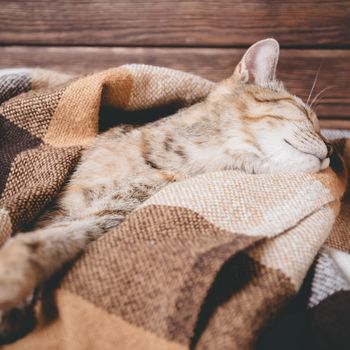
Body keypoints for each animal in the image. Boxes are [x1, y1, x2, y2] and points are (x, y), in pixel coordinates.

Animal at [0, 39, 332, 342]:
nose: (331, 151)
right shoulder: (65, 204)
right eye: (305, 113)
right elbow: (44, 231)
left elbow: (51, 240)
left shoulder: (113, 211)